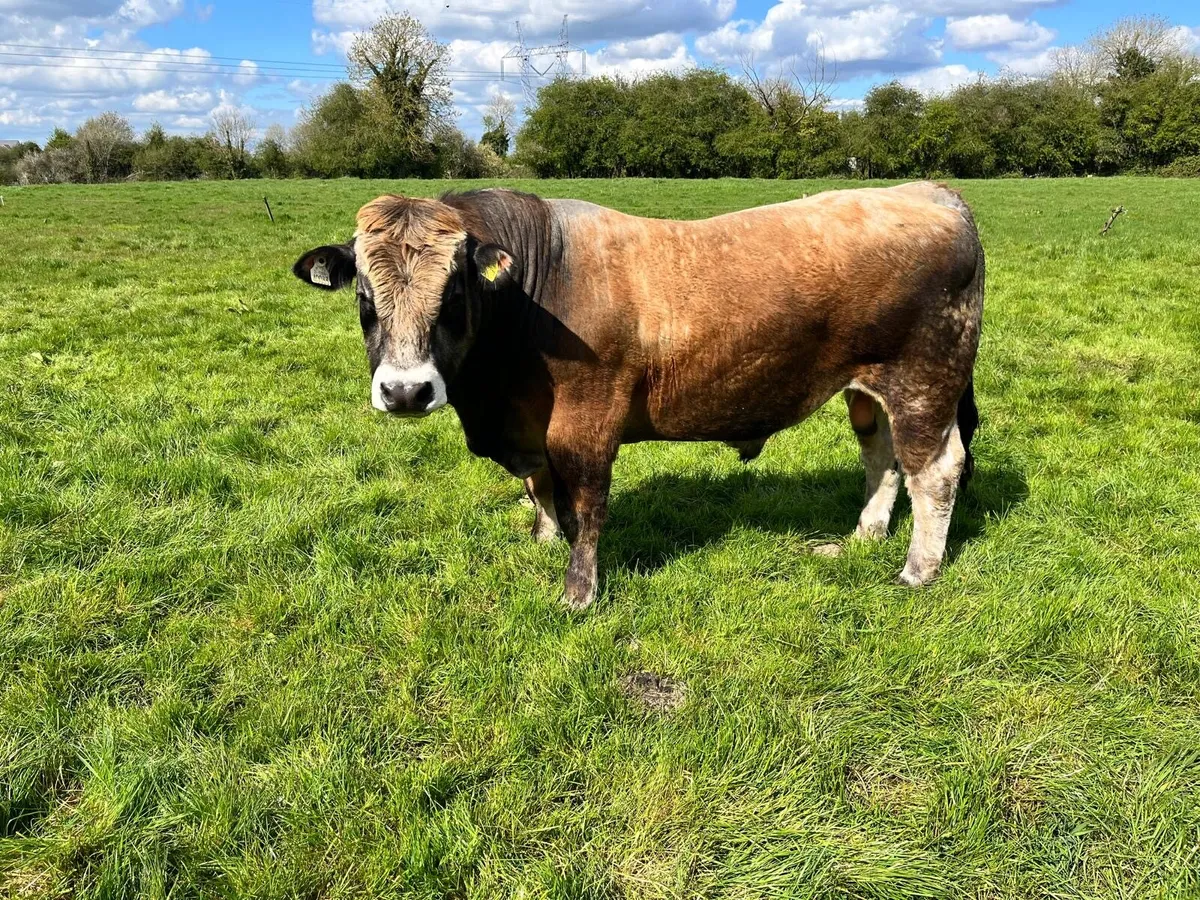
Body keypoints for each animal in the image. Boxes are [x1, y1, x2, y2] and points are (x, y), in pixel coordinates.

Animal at [292, 183, 983, 609]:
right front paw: (547, 537)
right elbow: (541, 487)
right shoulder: (528, 428)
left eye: (454, 294)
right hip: (868, 387)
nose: (406, 390)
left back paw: (917, 570)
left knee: (935, 469)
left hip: (924, 381)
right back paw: (863, 537)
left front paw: (578, 591)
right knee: (882, 457)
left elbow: (588, 501)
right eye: (364, 298)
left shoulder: (587, 418)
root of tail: (931, 191)